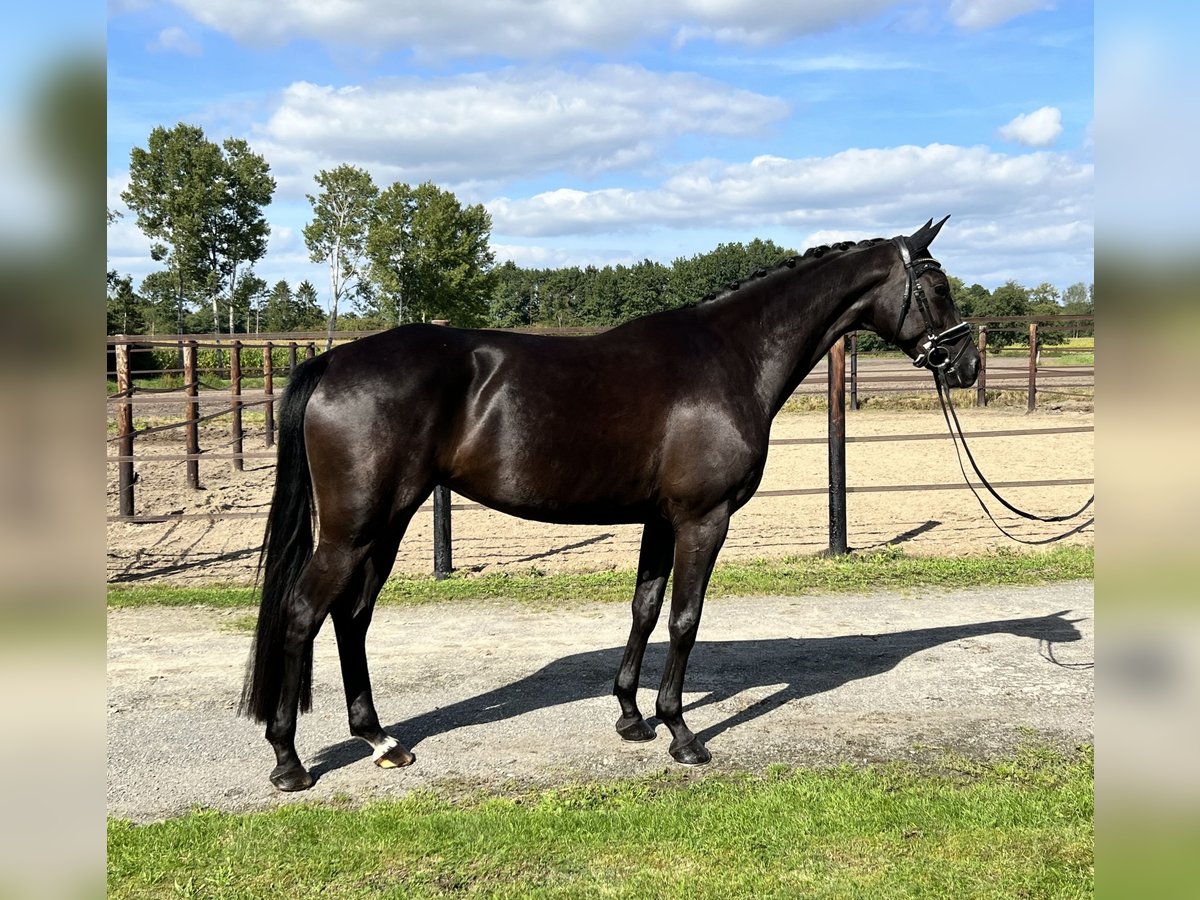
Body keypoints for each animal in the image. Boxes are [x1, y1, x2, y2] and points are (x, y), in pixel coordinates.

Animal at [238, 217, 979, 787]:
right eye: (938, 286)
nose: (968, 365)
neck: (732, 356)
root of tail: (333, 361)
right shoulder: (702, 519)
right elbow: (685, 619)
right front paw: (681, 733)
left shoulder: (661, 519)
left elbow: (645, 609)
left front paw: (631, 716)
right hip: (353, 528)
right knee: (304, 614)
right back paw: (289, 760)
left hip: (387, 522)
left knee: (352, 617)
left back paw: (381, 740)